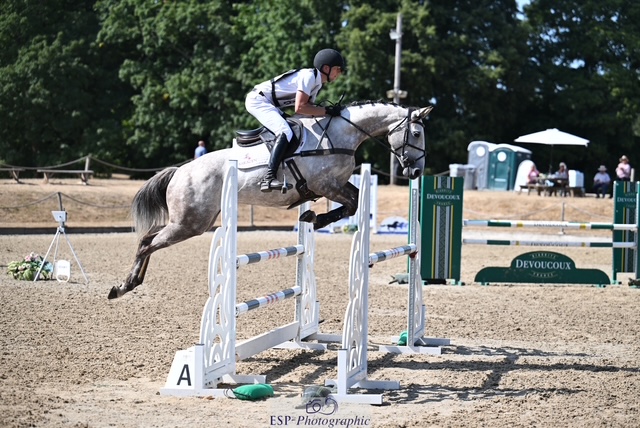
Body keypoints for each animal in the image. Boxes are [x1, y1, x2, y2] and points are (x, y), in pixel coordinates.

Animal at [109, 101, 433, 299]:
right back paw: (123, 286)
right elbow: (351, 204)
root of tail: (180, 171)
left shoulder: (335, 185)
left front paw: (311, 217)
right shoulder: (325, 185)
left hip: (189, 221)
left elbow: (352, 201)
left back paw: (131, 283)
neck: (340, 135)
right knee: (149, 243)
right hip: (190, 222)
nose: (416, 171)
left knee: (148, 237)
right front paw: (314, 218)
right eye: (416, 133)